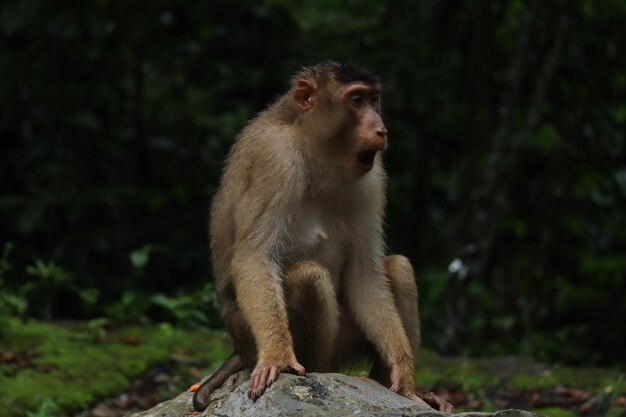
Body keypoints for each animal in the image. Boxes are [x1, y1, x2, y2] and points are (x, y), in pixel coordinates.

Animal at [193, 61, 450, 412]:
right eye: (356, 100)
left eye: (374, 99)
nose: (381, 129)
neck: (312, 143)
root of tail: (239, 350)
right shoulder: (275, 159)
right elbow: (255, 257)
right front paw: (277, 356)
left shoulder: (373, 178)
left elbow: (365, 272)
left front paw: (404, 372)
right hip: (261, 343)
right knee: (308, 276)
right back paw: (315, 371)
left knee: (397, 267)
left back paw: (387, 384)